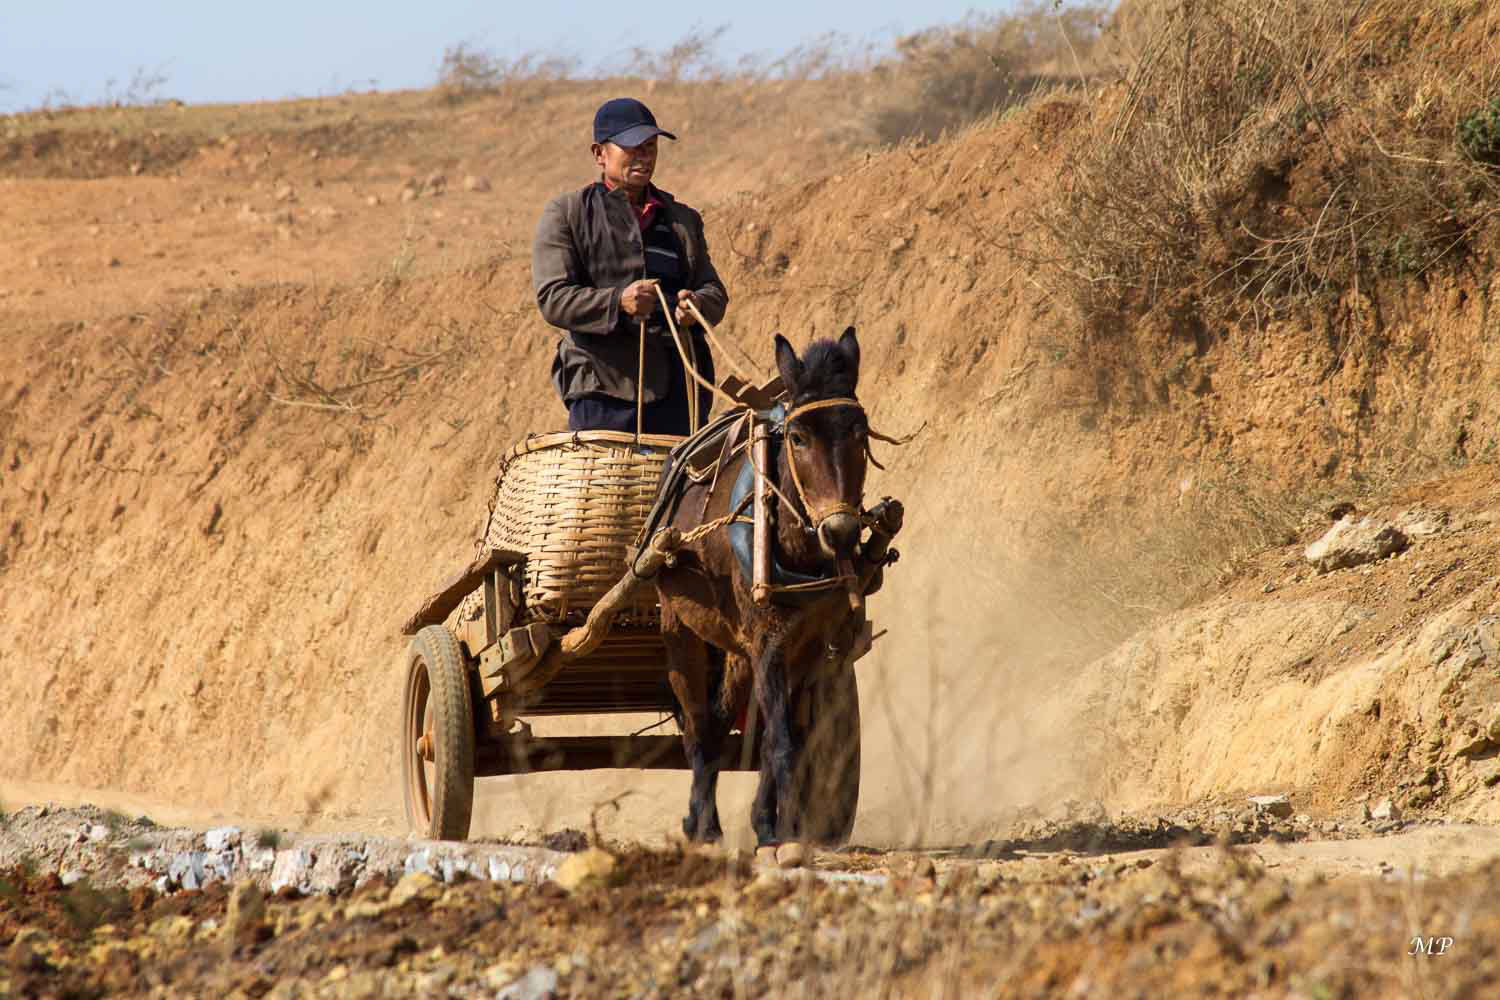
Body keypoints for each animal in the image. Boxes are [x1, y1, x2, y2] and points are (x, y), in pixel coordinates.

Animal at [651, 327, 900, 847]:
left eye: (860, 432)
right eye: (798, 437)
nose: (841, 532)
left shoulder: (810, 646)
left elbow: (783, 739)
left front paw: (769, 823)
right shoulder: (768, 643)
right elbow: (781, 739)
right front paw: (781, 832)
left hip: (736, 652)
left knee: (721, 723)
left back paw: (704, 820)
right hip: (681, 632)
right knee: (698, 733)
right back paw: (703, 825)